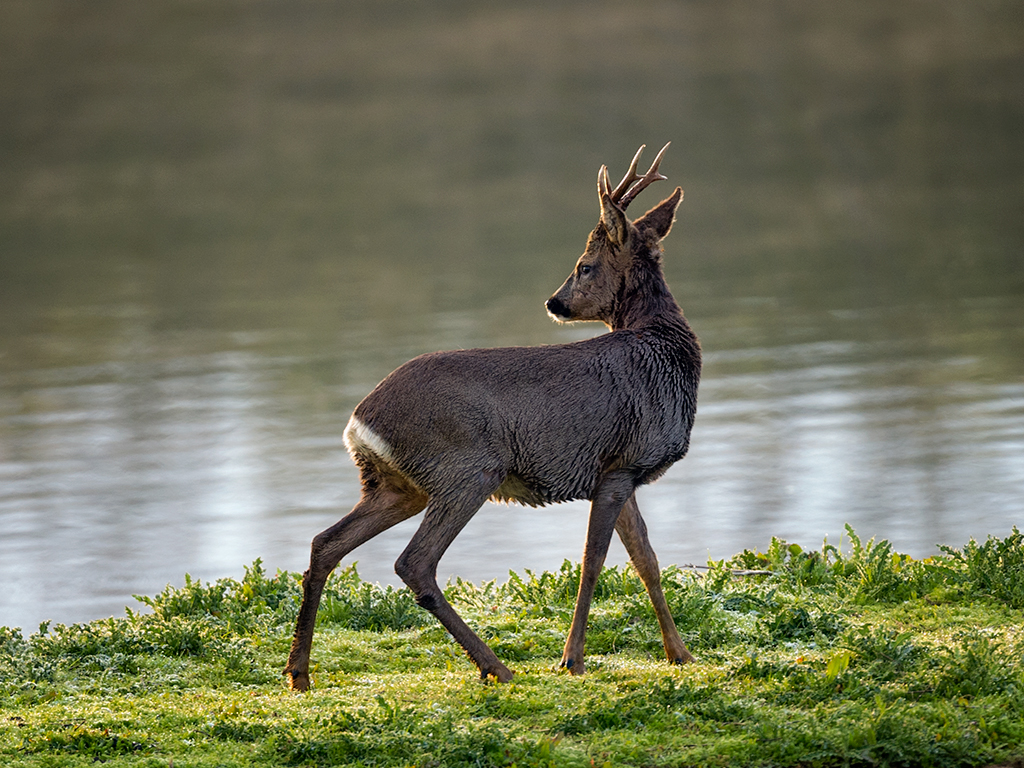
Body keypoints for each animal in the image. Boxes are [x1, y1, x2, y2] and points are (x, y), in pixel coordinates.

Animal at [288, 144, 704, 692]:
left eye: (584, 266)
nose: (554, 302)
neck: (661, 351)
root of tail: (358, 422)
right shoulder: (620, 464)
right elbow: (594, 562)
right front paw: (572, 660)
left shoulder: (620, 471)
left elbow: (647, 561)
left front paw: (680, 655)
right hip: (467, 469)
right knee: (414, 562)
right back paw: (496, 667)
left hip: (396, 486)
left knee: (326, 543)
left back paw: (298, 673)